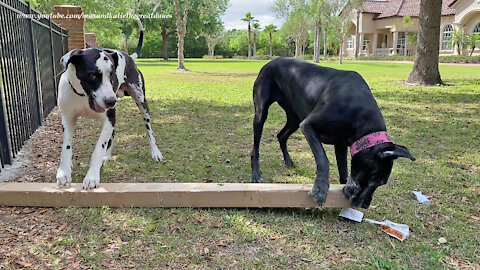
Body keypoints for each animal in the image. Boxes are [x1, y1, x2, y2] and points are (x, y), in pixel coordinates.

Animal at [56, 19, 163, 189]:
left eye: (112, 75)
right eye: (92, 75)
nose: (111, 101)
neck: (83, 96)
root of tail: (129, 57)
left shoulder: (108, 118)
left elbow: (98, 148)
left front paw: (92, 176)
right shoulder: (68, 119)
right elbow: (66, 147)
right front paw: (64, 172)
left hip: (141, 102)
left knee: (149, 130)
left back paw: (155, 152)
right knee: (112, 134)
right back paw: (106, 156)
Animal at [251, 58, 412, 208]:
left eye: (381, 183)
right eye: (373, 179)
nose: (364, 205)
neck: (358, 112)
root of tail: (270, 62)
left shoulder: (341, 144)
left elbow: (343, 169)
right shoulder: (308, 125)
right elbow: (323, 159)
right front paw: (320, 189)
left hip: (294, 118)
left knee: (281, 136)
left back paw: (288, 161)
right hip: (262, 113)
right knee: (255, 149)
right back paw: (256, 175)